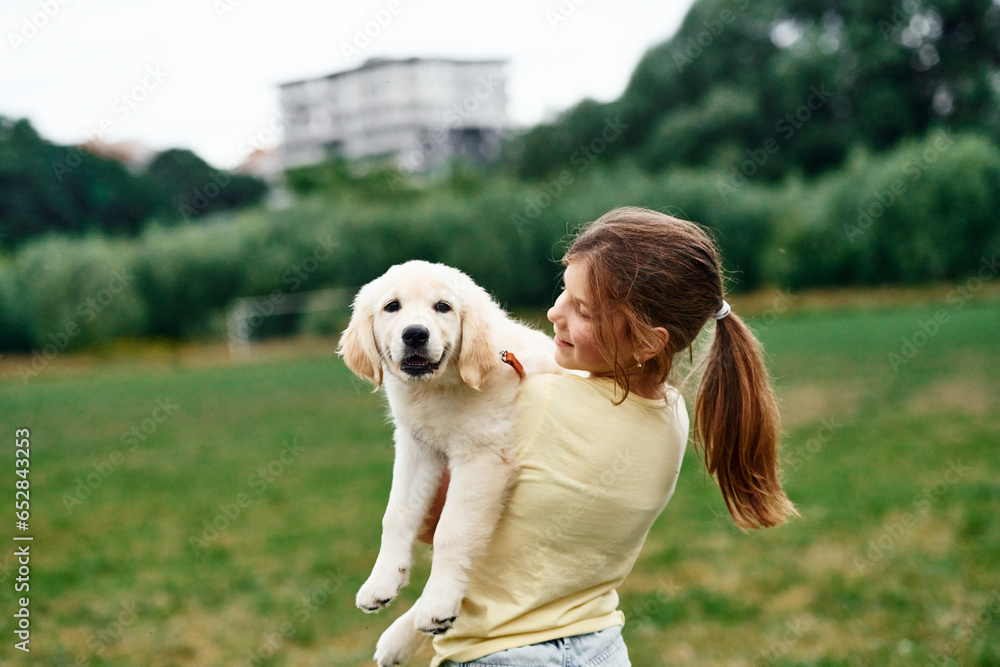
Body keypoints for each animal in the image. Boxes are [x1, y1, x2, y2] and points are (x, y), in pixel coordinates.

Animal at [338, 258, 564, 664]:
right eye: (392, 307)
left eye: (442, 307)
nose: (414, 334)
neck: (439, 389)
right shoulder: (417, 447)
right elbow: (396, 515)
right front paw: (383, 579)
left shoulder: (481, 458)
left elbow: (451, 532)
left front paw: (438, 602)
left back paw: (428, 612)